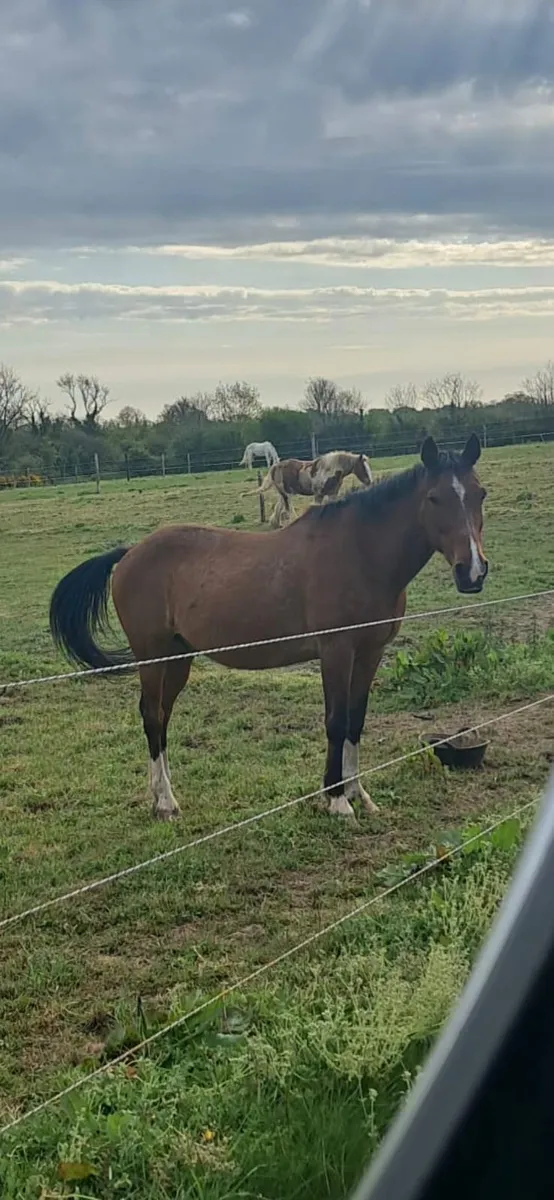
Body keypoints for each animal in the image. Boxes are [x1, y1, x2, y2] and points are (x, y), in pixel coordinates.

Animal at [49, 435, 487, 823]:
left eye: (480, 494)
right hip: (152, 656)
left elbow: (356, 720)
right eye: (434, 498)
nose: (473, 572)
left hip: (178, 657)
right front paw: (337, 801)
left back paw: (162, 795)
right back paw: (166, 803)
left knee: (161, 715)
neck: (361, 554)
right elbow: (336, 721)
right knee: (152, 716)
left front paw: (358, 793)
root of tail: (129, 554)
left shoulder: (370, 652)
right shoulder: (336, 652)